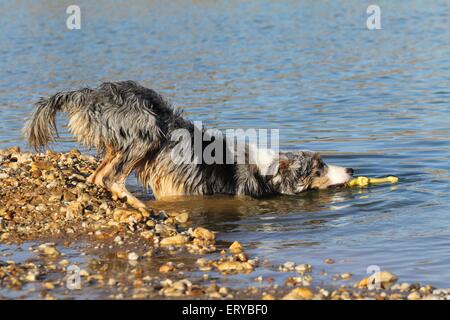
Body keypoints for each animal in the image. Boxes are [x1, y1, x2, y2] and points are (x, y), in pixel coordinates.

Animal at [23, 81, 356, 209]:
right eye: (319, 167)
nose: (352, 170)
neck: (267, 169)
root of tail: (90, 93)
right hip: (147, 132)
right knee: (110, 178)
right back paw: (142, 207)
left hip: (119, 143)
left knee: (96, 175)